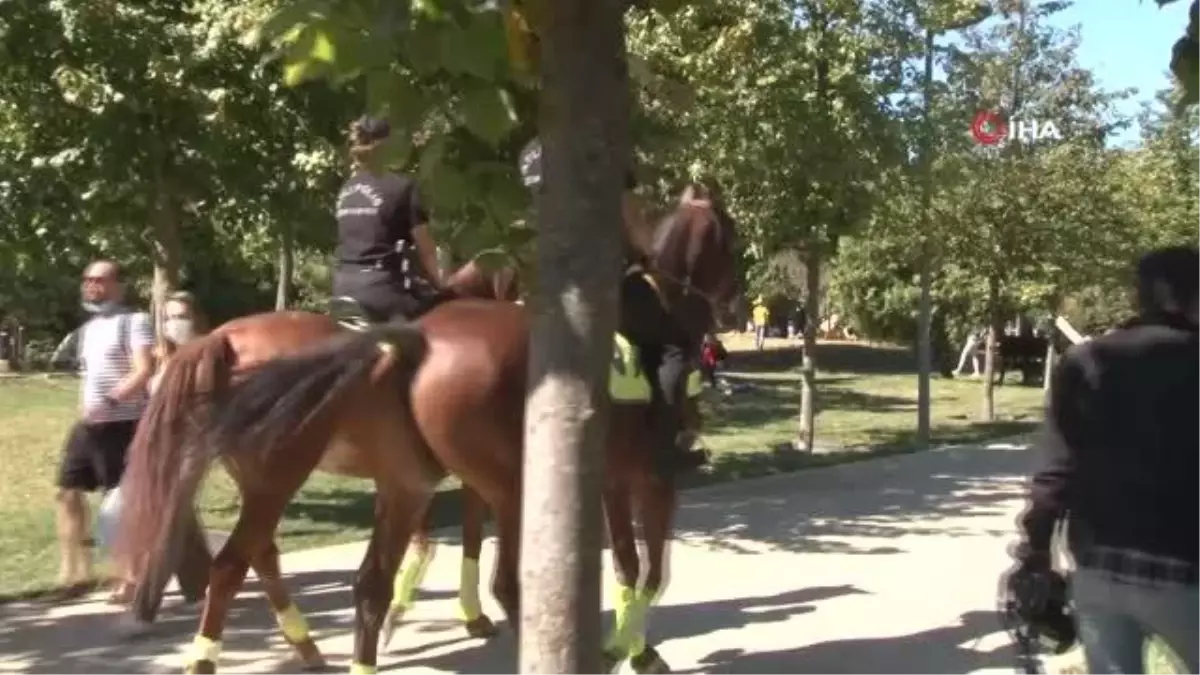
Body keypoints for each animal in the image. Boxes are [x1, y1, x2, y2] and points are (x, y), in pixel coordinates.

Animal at [117, 196, 734, 667]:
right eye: (729, 237)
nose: (725, 309)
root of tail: (218, 338)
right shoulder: (641, 478)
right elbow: (643, 568)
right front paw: (634, 650)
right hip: (287, 476)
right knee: (233, 567)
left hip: (273, 479)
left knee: (273, 560)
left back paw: (310, 647)